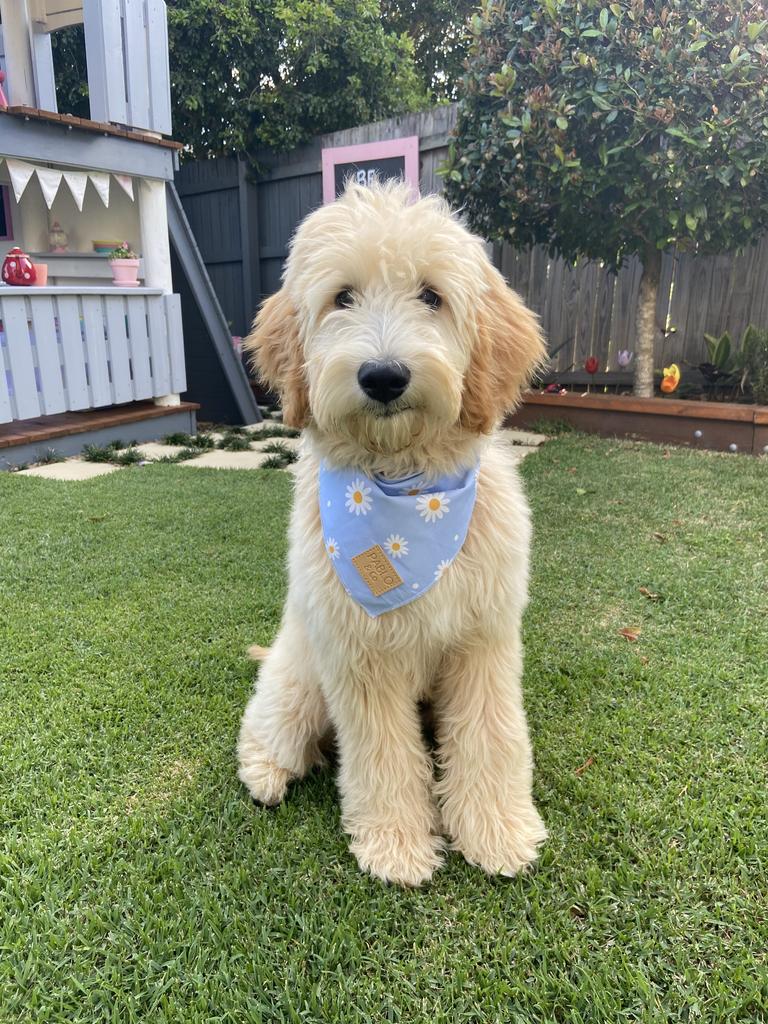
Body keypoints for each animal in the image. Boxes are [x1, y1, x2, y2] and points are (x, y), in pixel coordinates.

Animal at [239, 180, 548, 884]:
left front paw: (496, 831)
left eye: (431, 295)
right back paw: (267, 772)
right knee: (270, 723)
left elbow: (491, 734)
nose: (383, 376)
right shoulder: (360, 656)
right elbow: (381, 753)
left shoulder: (484, 640)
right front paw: (397, 844)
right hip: (301, 673)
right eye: (342, 297)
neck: (406, 491)